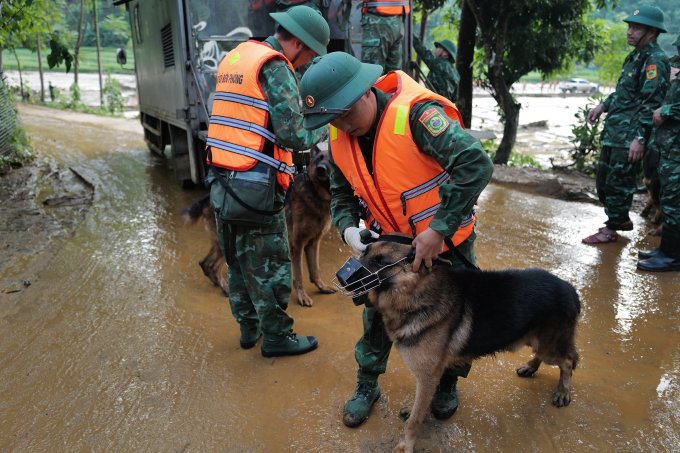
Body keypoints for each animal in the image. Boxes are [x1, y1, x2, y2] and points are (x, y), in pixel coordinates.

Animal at [185, 147, 336, 306]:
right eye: (319, 159)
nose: (320, 169)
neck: (314, 194)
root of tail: (206, 197)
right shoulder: (297, 245)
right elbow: (299, 275)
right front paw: (303, 296)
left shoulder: (313, 243)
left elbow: (315, 270)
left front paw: (322, 287)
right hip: (227, 242)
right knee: (212, 265)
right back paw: (225, 287)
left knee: (205, 263)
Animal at [350, 238, 580, 450]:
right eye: (364, 253)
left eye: (381, 262)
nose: (344, 278)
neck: (418, 294)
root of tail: (570, 288)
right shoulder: (431, 374)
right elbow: (421, 405)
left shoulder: (428, 375)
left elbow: (414, 420)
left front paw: (405, 445)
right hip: (536, 340)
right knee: (549, 355)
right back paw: (530, 367)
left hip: (548, 346)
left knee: (567, 361)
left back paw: (563, 391)